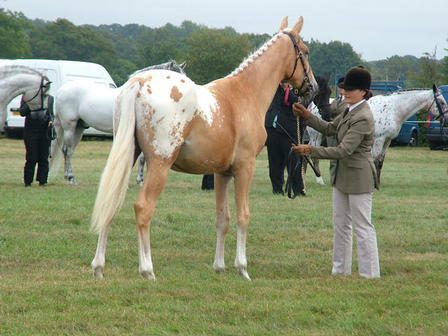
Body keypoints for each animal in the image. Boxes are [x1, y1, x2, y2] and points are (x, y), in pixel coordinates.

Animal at [50, 60, 186, 184]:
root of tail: (61, 90)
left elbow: (142, 158)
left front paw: (140, 180)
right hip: (69, 127)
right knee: (66, 150)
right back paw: (70, 178)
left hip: (79, 128)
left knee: (70, 151)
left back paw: (70, 177)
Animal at [89, 17, 318, 280]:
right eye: (305, 52)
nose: (313, 87)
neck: (245, 93)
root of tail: (138, 83)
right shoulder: (245, 167)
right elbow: (243, 215)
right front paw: (242, 268)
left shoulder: (221, 172)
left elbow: (222, 219)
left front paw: (219, 266)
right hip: (159, 165)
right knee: (143, 208)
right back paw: (147, 271)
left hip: (126, 156)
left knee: (111, 203)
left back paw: (98, 267)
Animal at [306, 84, 448, 184]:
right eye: (441, 102)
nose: (446, 120)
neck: (393, 108)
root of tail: (311, 107)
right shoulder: (379, 139)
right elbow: (375, 160)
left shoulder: (387, 140)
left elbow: (380, 161)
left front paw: (378, 181)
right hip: (316, 136)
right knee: (313, 156)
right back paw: (319, 180)